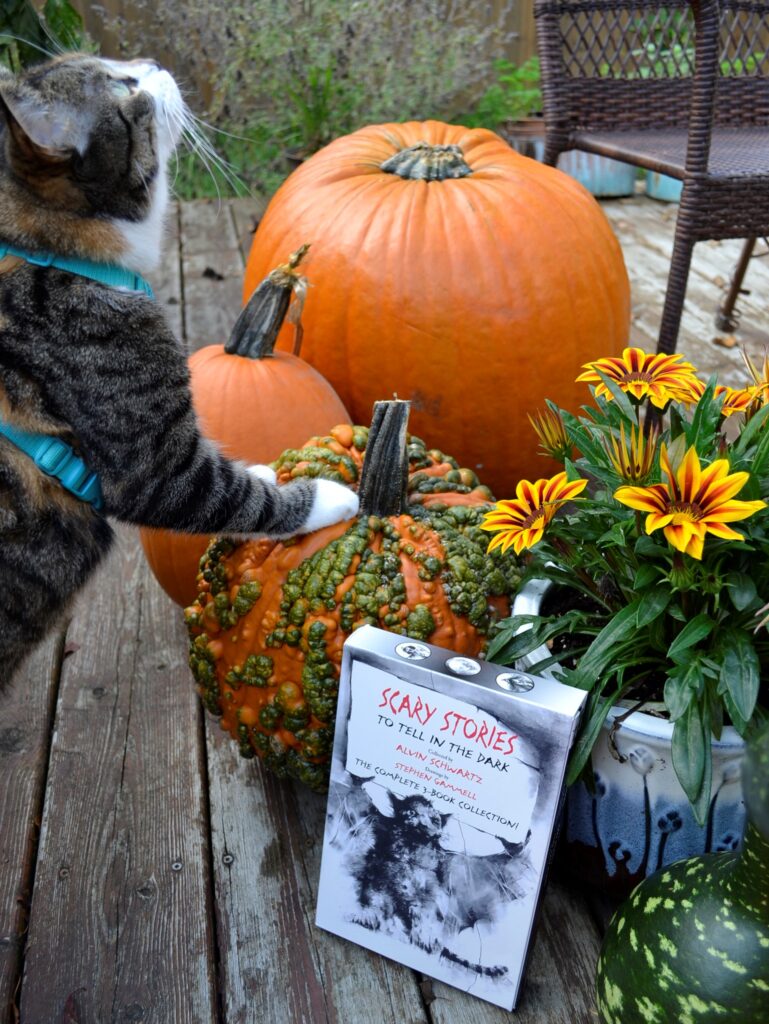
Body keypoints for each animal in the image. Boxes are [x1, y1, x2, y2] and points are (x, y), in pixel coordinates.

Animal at [0, 51, 360, 684]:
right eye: (124, 85)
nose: (150, 62)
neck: (53, 251)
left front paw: (268, 470)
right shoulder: (155, 466)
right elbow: (236, 497)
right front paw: (327, 496)